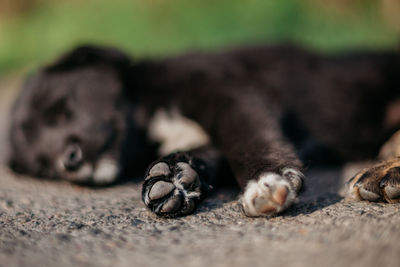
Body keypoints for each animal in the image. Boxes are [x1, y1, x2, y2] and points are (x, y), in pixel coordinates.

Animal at [7, 44, 400, 218]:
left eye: (61, 106)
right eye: (43, 165)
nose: (69, 161)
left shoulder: (230, 95)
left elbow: (246, 139)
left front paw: (264, 183)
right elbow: (206, 152)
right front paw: (172, 180)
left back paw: (384, 174)